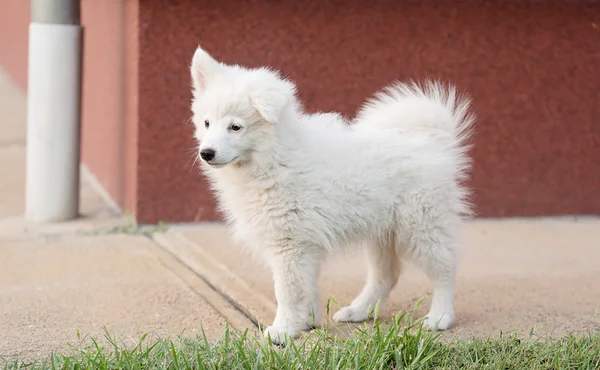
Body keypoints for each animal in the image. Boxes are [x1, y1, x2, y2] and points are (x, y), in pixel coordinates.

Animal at [190, 45, 476, 344]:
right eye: (207, 123)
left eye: (235, 127)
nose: (206, 153)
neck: (274, 158)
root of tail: (434, 142)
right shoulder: (306, 244)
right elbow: (307, 286)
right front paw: (306, 322)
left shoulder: (290, 245)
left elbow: (288, 292)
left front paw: (282, 330)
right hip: (382, 232)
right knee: (386, 275)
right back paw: (359, 311)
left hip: (422, 226)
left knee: (444, 269)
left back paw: (439, 317)